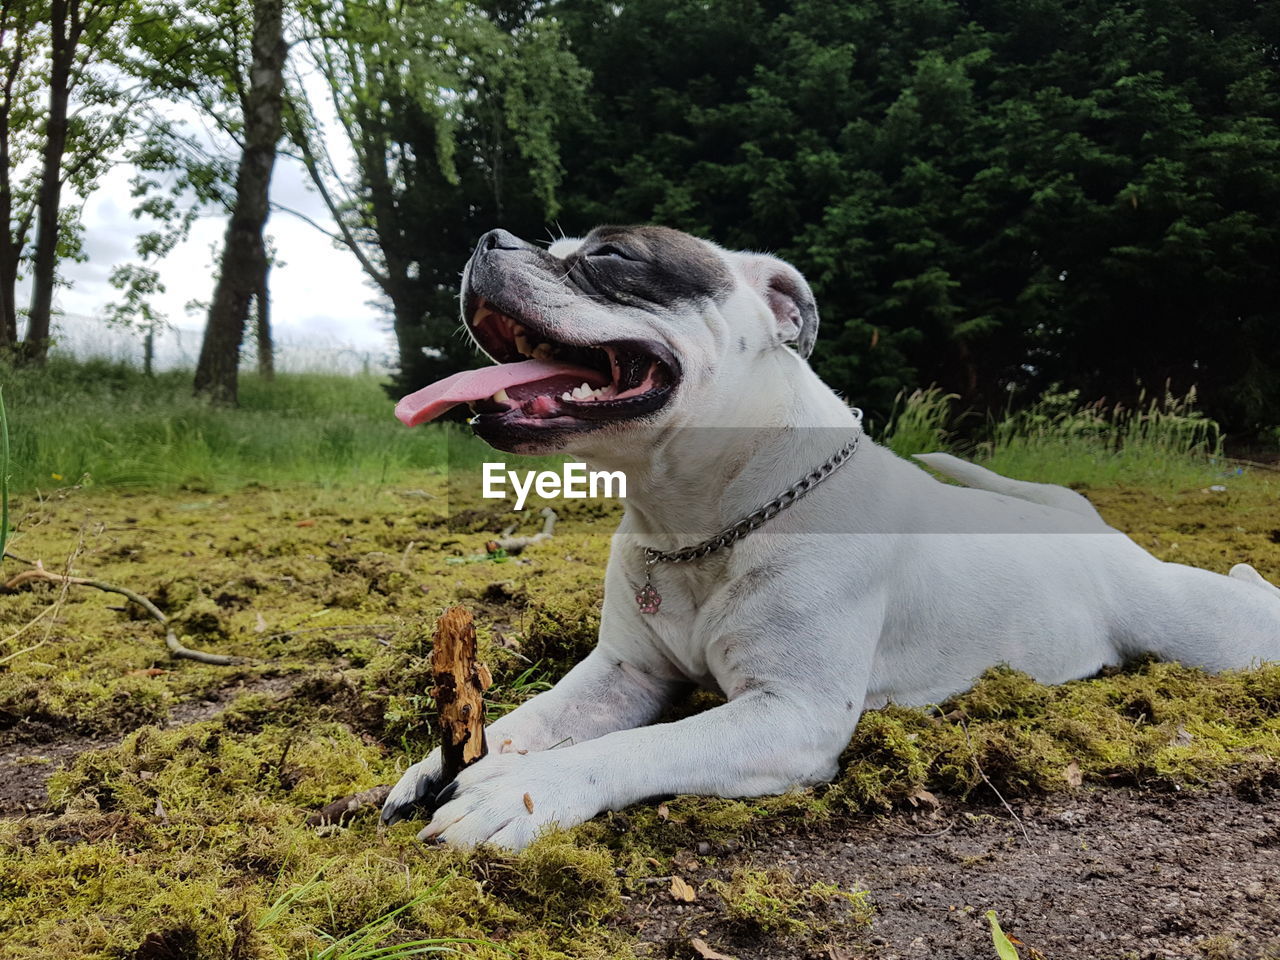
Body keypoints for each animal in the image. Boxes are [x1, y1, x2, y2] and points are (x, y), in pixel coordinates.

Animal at [378, 224, 1280, 849]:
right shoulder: (620, 676)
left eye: (614, 256)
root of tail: (1088, 526)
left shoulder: (787, 714)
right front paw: (441, 766)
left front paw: (517, 794)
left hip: (1214, 633)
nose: (489, 239)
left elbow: (644, 746)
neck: (702, 518)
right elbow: (531, 717)